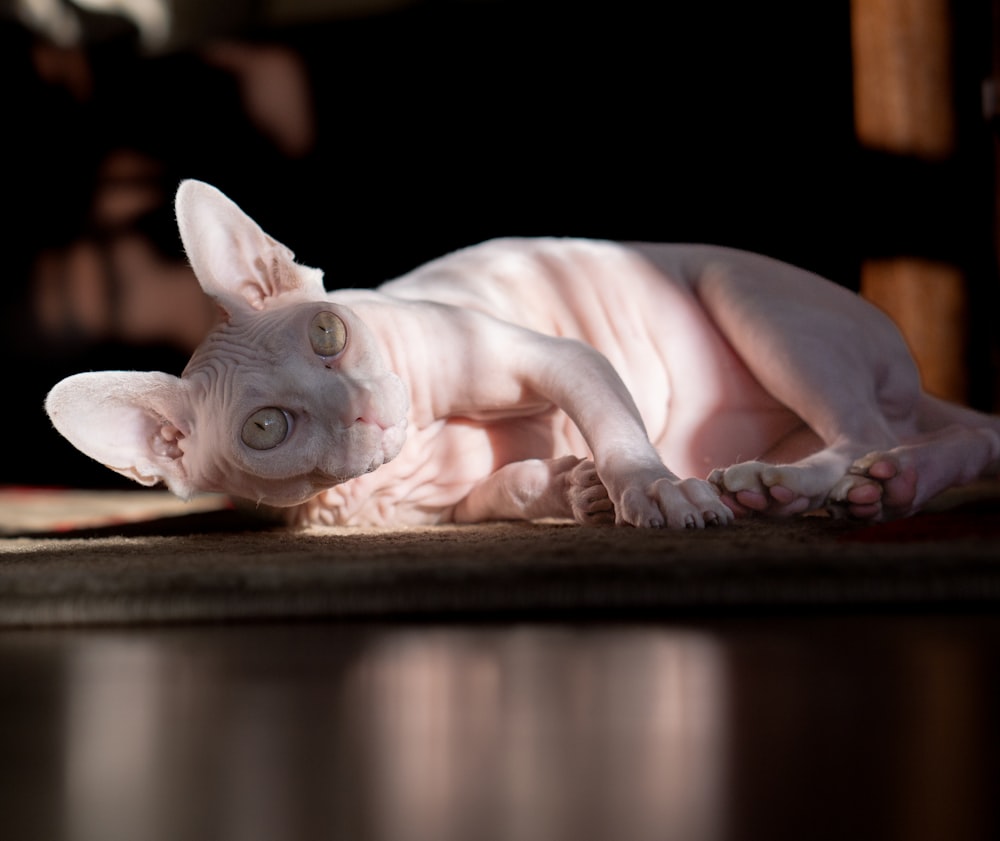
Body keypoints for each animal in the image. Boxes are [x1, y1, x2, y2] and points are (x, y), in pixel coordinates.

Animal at [45, 180, 1000, 528]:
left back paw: (795, 484)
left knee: (866, 426)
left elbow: (613, 428)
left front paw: (649, 488)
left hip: (744, 290)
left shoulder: (557, 355)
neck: (414, 456)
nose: (363, 408)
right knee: (953, 437)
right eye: (268, 428)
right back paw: (889, 484)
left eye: (327, 334)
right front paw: (567, 488)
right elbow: (495, 494)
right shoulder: (436, 512)